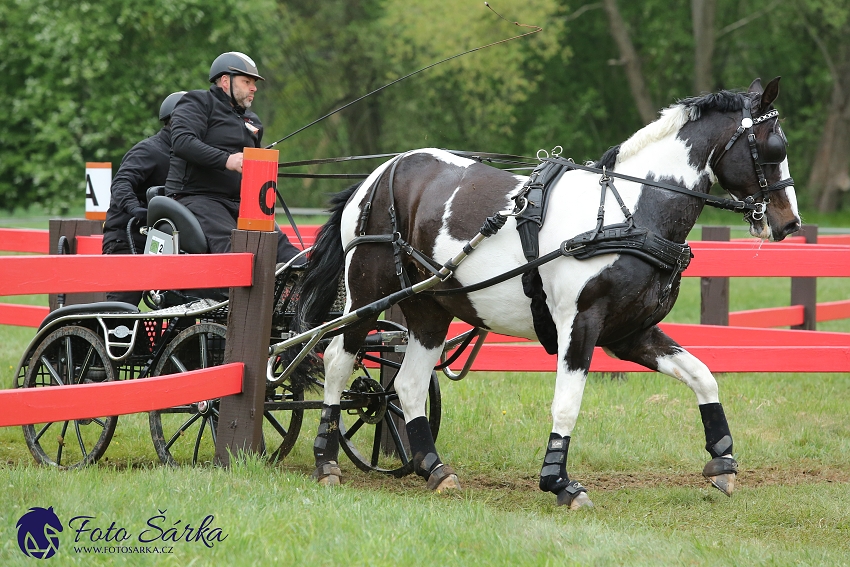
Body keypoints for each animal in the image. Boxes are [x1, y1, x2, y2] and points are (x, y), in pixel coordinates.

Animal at [294, 77, 800, 508]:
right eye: (774, 146)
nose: (789, 222)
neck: (629, 214)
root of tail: (379, 174)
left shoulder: (631, 334)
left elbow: (702, 375)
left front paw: (723, 460)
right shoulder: (581, 324)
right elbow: (567, 403)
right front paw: (559, 481)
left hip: (429, 308)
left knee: (410, 384)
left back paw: (436, 469)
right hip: (366, 295)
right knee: (338, 360)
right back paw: (325, 460)